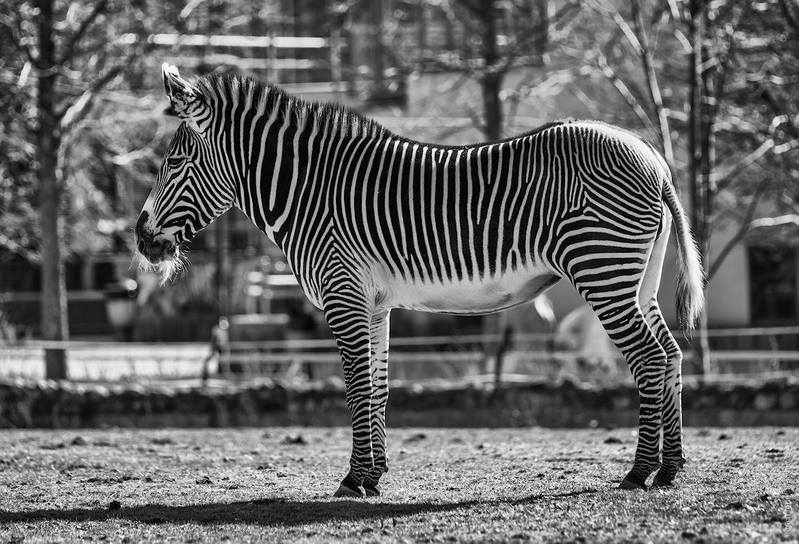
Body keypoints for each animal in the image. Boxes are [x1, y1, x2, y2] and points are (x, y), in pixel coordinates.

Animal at [138, 63, 708, 498]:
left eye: (174, 161)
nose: (142, 241)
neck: (309, 192)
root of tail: (655, 160)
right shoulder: (373, 303)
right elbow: (379, 387)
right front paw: (374, 475)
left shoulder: (343, 295)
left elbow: (355, 386)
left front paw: (354, 479)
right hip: (637, 279)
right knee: (671, 353)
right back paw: (670, 469)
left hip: (603, 271)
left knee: (649, 358)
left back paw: (638, 471)